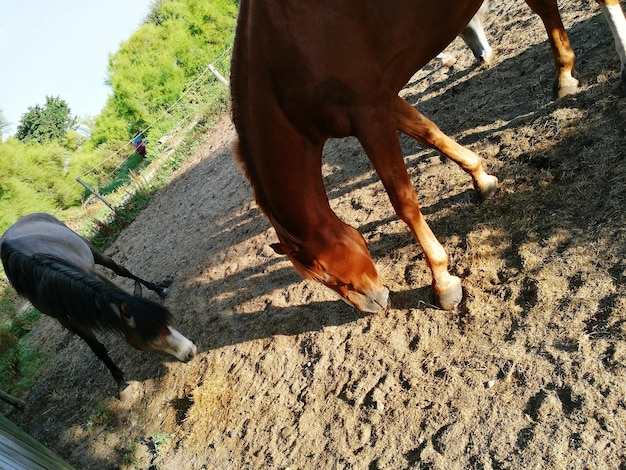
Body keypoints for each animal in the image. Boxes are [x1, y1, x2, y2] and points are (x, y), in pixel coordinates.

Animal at [0, 213, 195, 396]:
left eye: (164, 322)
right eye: (149, 336)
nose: (190, 350)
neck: (40, 275)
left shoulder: (88, 277)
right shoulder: (66, 318)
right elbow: (98, 349)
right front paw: (121, 384)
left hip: (93, 252)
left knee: (120, 271)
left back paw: (158, 288)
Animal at [229, 2, 498, 316]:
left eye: (325, 273)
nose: (373, 304)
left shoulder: (369, 117)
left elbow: (404, 202)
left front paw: (443, 283)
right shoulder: (382, 101)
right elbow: (431, 134)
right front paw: (482, 180)